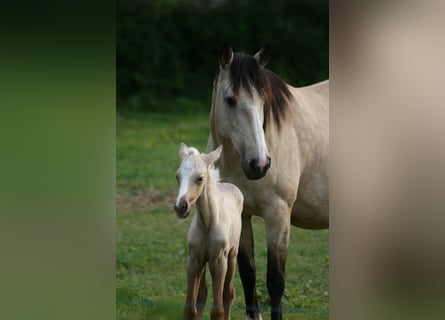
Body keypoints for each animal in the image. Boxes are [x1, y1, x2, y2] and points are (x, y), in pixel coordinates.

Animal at [173, 144, 243, 320]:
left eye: (200, 178)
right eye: (177, 176)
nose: (180, 207)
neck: (207, 224)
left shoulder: (218, 261)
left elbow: (218, 310)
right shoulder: (194, 259)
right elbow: (191, 308)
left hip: (232, 255)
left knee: (228, 293)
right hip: (204, 261)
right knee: (202, 295)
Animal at [206, 43, 328, 320]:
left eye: (263, 99)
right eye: (230, 100)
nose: (259, 164)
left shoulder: (278, 215)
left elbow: (275, 281)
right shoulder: (242, 216)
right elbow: (247, 275)